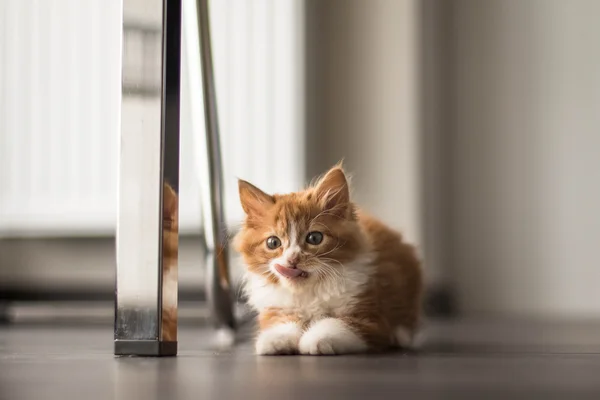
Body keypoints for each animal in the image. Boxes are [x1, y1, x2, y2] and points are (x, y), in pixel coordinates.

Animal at [234, 164, 422, 354]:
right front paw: (275, 340)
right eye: (273, 242)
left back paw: (400, 335)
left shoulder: (369, 315)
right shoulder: (276, 308)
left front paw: (316, 339)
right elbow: (281, 323)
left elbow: (338, 323)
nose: (292, 259)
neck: (309, 292)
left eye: (314, 238)